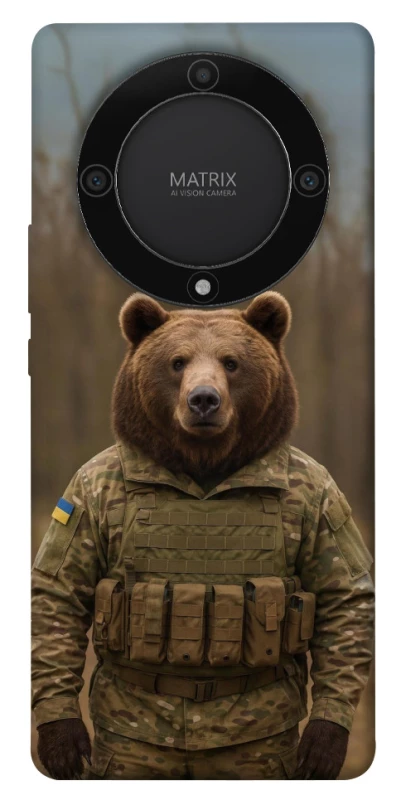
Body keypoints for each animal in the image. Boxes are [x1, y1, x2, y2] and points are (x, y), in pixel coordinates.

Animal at [32, 291, 374, 780]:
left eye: (232, 362)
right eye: (177, 362)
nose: (204, 400)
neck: (204, 465)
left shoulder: (320, 493)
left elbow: (343, 592)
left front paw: (324, 743)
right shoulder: (88, 488)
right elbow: (60, 590)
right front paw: (61, 741)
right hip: (132, 747)